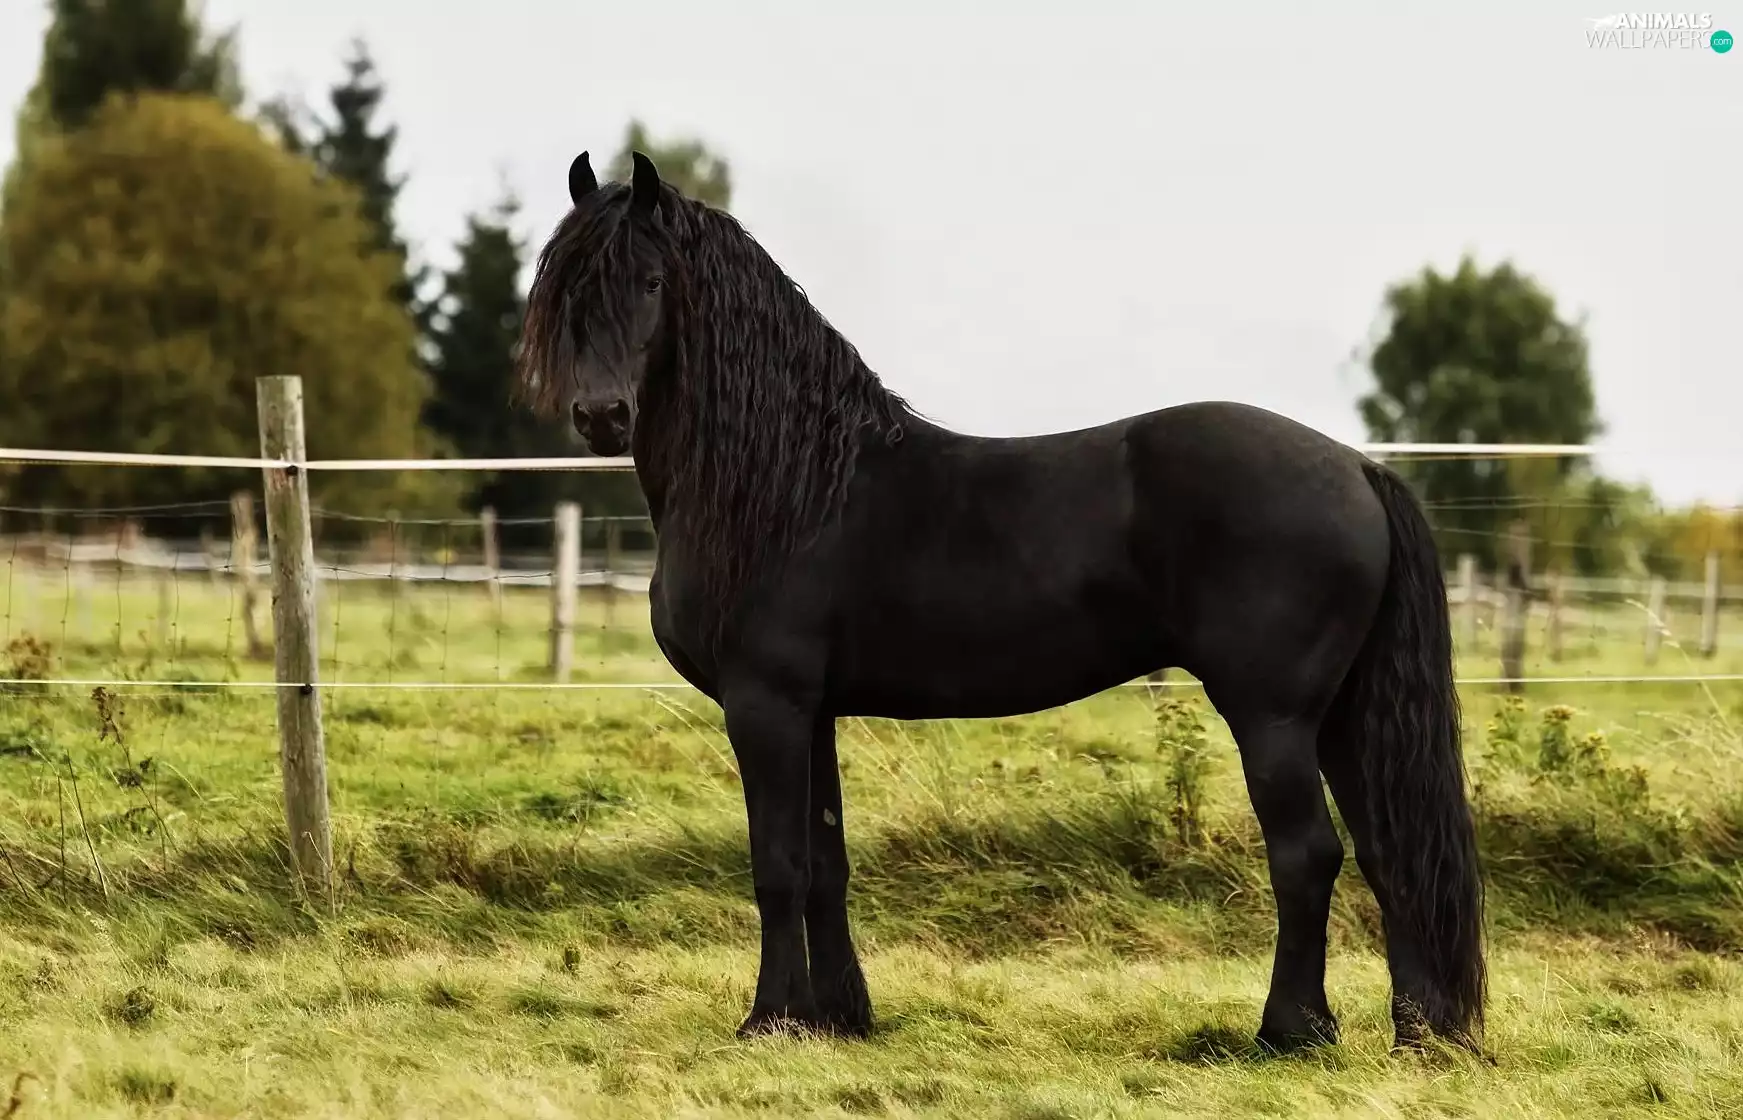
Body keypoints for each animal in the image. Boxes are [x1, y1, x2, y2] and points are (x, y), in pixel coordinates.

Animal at [515, 149, 1486, 1054]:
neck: (786, 484)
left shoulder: (766, 706)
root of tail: (1356, 466)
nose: (600, 416)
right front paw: (839, 1017)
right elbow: (826, 861)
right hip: (1341, 716)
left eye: (649, 282)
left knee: (1306, 855)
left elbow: (777, 863)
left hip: (1272, 717)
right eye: (566, 284)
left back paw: (1289, 1030)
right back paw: (1417, 1034)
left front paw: (769, 1020)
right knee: (1388, 850)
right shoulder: (812, 710)